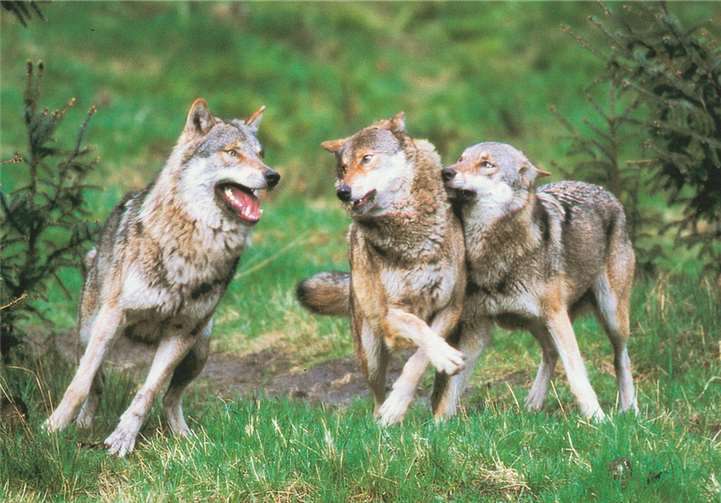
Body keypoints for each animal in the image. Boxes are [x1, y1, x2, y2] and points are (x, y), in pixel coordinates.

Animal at [45, 98, 280, 456]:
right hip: (91, 331)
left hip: (200, 348)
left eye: (261, 153)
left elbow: (148, 392)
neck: (193, 244)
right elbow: (79, 384)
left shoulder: (181, 334)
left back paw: (184, 435)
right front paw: (54, 427)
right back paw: (83, 423)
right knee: (97, 383)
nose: (273, 175)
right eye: (232, 153)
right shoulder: (112, 318)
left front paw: (124, 437)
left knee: (171, 397)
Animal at [296, 113, 467, 426]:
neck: (412, 236)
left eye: (366, 158)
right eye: (343, 168)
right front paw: (394, 409)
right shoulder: (390, 314)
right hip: (371, 353)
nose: (341, 191)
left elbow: (419, 358)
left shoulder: (451, 307)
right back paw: (381, 420)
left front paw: (401, 400)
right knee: (375, 397)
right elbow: (420, 330)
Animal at [439, 141, 638, 420]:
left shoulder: (557, 316)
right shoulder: (476, 326)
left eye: (487, 164)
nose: (446, 172)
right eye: (460, 159)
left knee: (622, 357)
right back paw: (532, 404)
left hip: (611, 317)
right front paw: (437, 423)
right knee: (550, 352)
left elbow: (577, 375)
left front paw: (597, 418)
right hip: (533, 321)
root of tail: (605, 191)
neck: (495, 251)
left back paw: (630, 409)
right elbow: (451, 386)